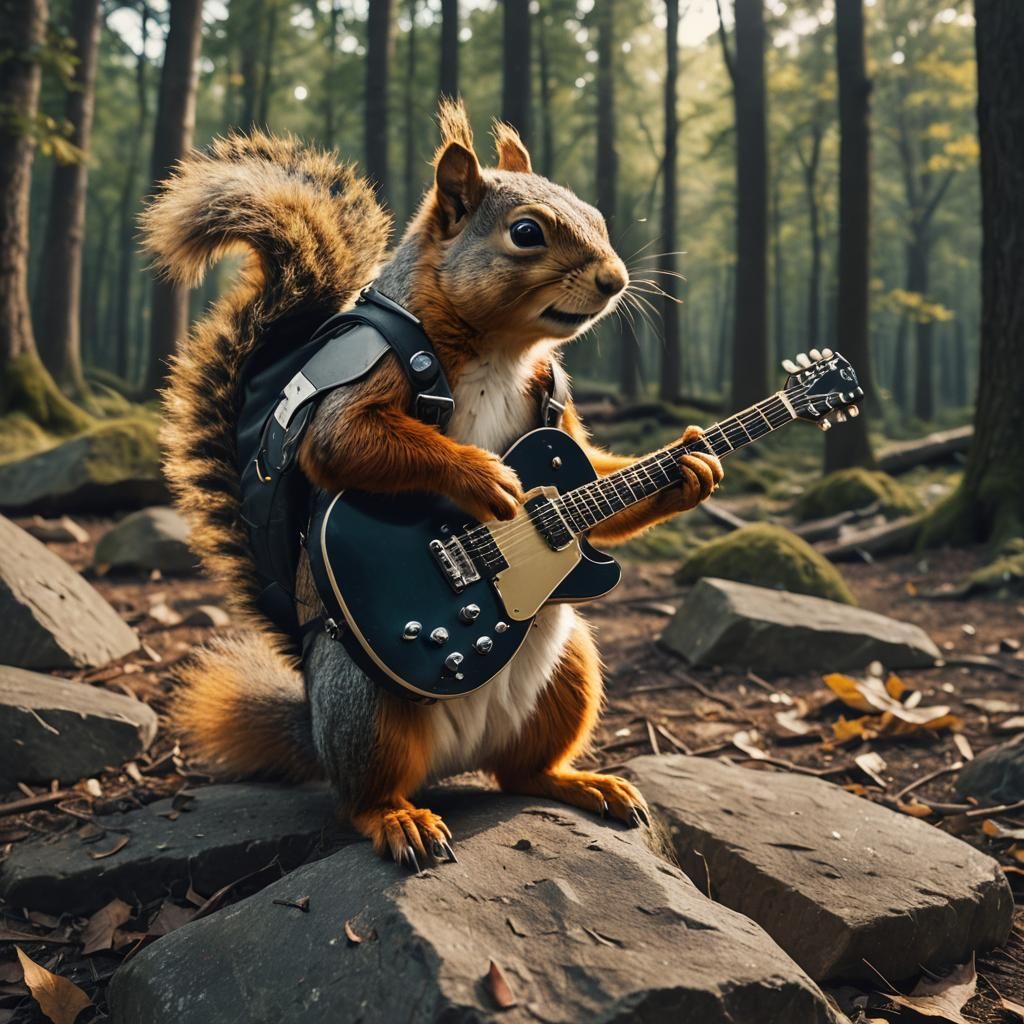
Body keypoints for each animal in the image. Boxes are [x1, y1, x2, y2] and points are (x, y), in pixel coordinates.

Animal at [141, 101, 723, 868]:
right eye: (527, 233)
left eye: (598, 216)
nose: (616, 280)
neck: (504, 349)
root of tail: (451, 763)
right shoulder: (373, 371)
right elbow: (343, 442)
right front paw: (488, 479)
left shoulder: (557, 403)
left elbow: (594, 478)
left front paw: (691, 467)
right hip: (363, 705)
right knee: (361, 794)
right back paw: (400, 821)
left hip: (569, 673)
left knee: (523, 773)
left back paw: (583, 784)